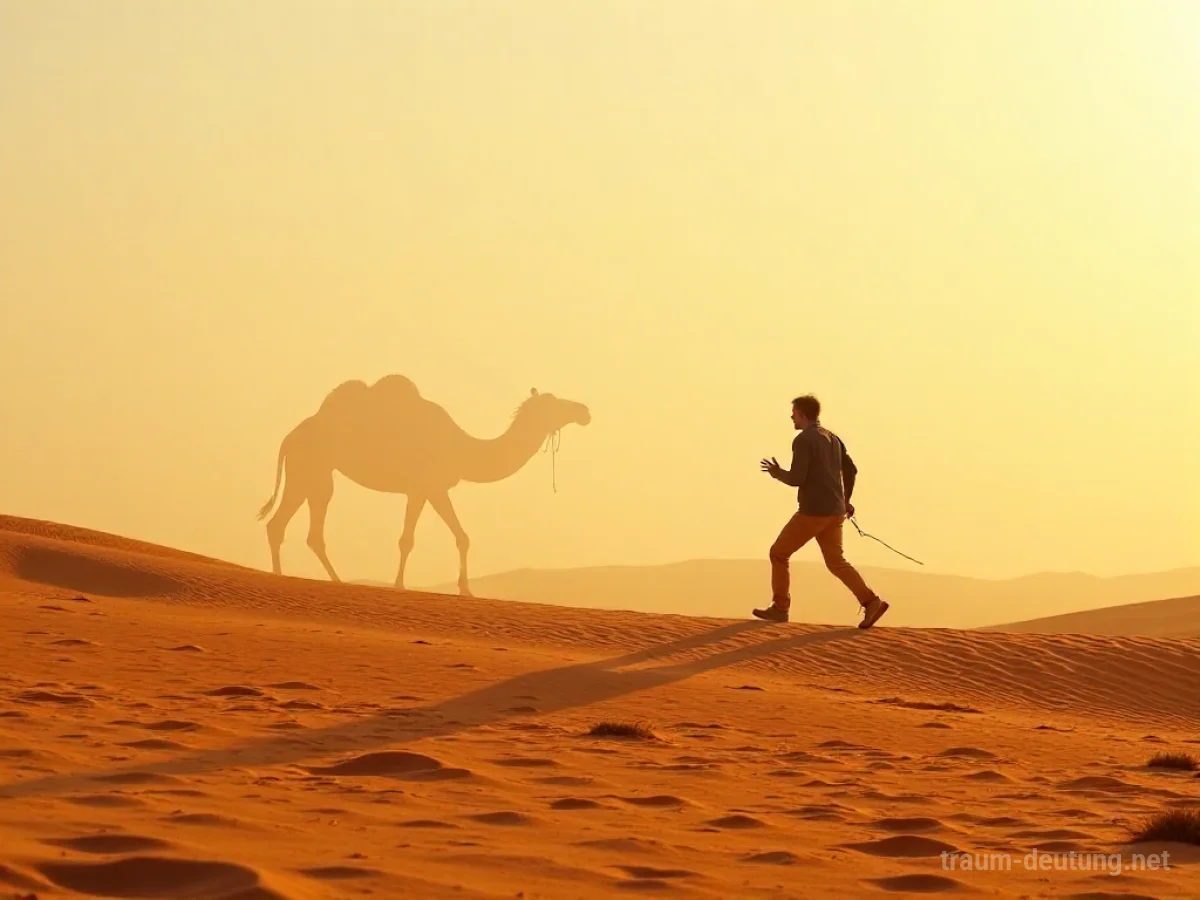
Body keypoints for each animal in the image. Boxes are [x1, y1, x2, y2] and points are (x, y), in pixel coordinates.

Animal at [256, 375, 591, 595]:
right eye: (554, 405)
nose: (584, 411)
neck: (462, 448)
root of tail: (289, 437)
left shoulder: (429, 489)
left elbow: (461, 537)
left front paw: (465, 590)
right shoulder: (426, 487)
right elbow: (409, 539)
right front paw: (400, 585)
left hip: (311, 473)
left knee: (290, 528)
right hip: (312, 470)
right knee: (296, 525)